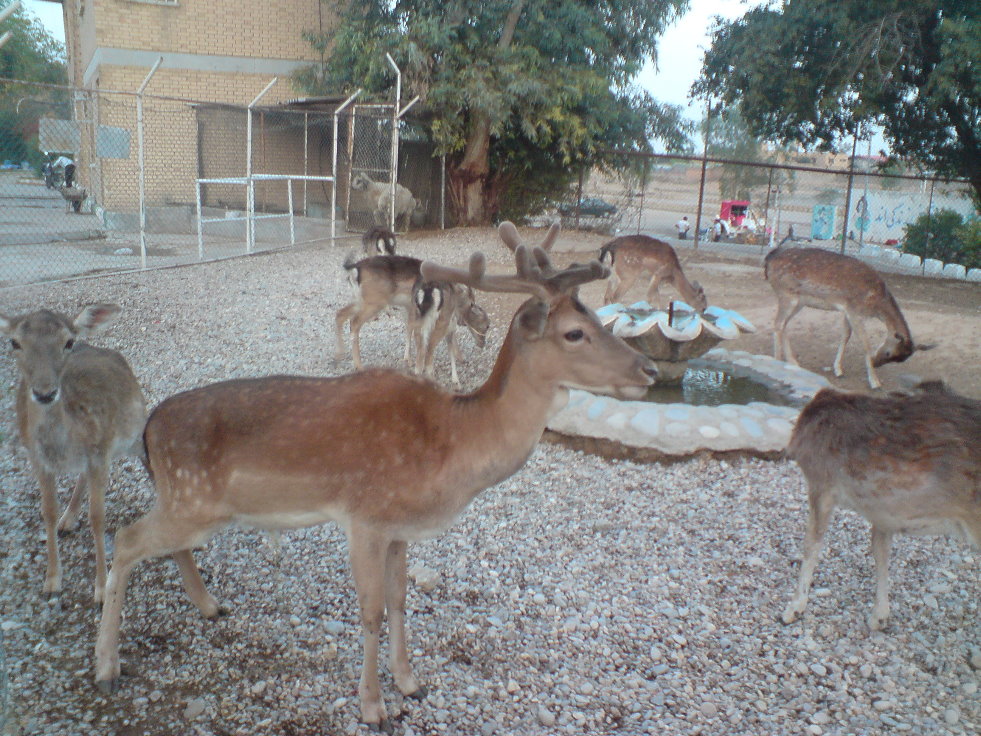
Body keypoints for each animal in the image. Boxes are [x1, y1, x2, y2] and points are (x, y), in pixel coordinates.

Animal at [0, 305, 147, 604]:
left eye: (67, 342)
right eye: (14, 342)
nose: (45, 393)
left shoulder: (100, 454)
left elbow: (98, 518)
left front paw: (101, 589)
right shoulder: (38, 460)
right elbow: (48, 511)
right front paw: (52, 581)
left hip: (136, 431)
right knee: (80, 478)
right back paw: (68, 520)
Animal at [94, 225, 658, 731]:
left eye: (599, 318)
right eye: (574, 333)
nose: (650, 370)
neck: (452, 445)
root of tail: (149, 430)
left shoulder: (398, 528)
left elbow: (400, 601)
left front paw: (410, 682)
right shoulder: (364, 517)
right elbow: (370, 611)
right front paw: (373, 707)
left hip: (191, 504)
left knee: (163, 544)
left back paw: (209, 607)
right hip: (190, 495)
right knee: (126, 539)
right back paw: (106, 665)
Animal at [764, 246, 932, 389]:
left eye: (900, 359)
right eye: (889, 353)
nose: (876, 363)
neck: (875, 302)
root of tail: (769, 260)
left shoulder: (847, 310)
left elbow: (845, 335)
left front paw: (838, 369)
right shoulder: (854, 310)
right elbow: (865, 343)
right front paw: (875, 381)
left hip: (799, 302)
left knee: (784, 325)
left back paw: (793, 362)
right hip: (786, 294)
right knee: (778, 323)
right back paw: (777, 362)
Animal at [780, 381, 981, 630]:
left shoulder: (820, 480)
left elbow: (811, 544)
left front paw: (792, 610)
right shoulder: (883, 513)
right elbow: (880, 550)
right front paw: (879, 617)